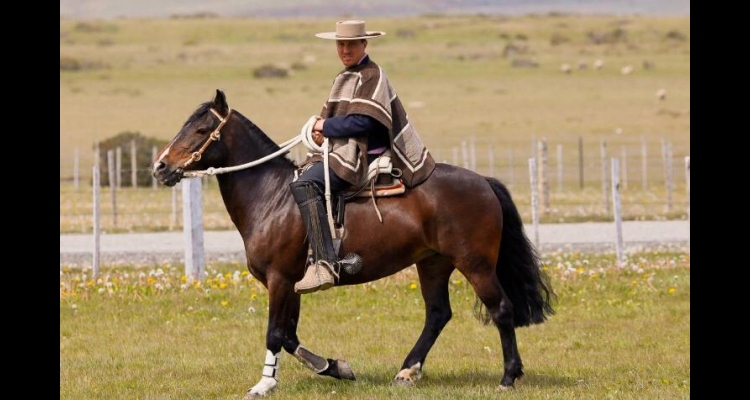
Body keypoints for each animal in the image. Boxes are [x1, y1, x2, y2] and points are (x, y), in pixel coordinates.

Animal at [153, 89, 556, 398]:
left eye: (202, 128)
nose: (160, 167)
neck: (272, 196)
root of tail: (484, 182)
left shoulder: (280, 280)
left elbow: (275, 334)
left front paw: (264, 384)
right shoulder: (293, 284)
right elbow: (290, 336)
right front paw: (336, 367)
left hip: (475, 264)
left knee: (501, 309)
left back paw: (508, 377)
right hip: (432, 263)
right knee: (438, 314)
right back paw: (407, 371)